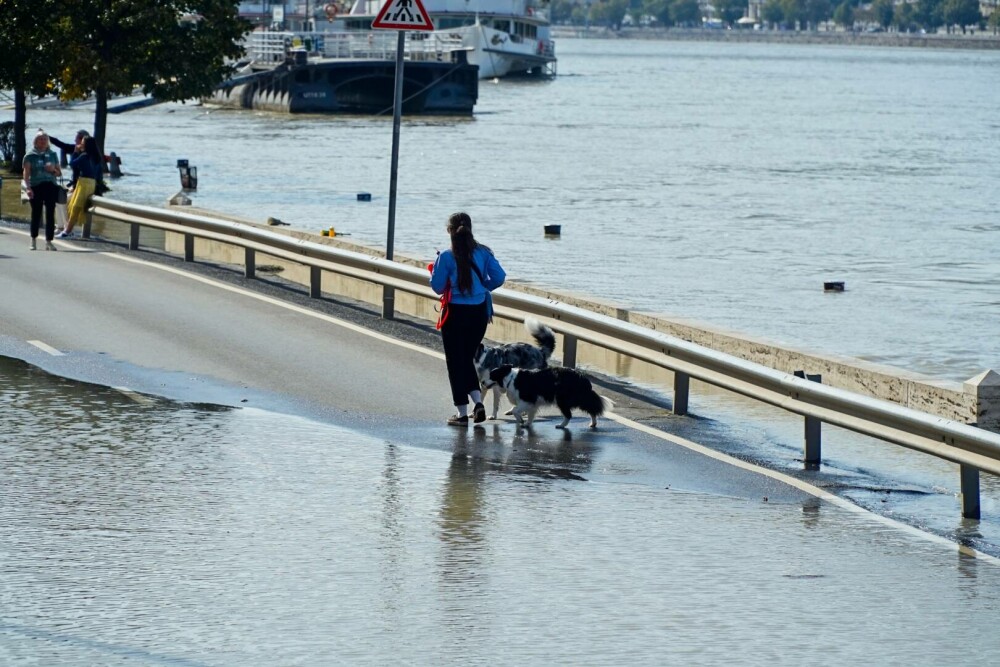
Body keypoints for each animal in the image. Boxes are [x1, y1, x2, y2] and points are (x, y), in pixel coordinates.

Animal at [482, 362, 612, 430]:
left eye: (491, 375)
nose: (482, 382)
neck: (509, 379)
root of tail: (583, 378)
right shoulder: (532, 404)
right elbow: (530, 414)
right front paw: (527, 423)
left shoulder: (526, 400)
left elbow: (515, 410)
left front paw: (520, 420)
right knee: (591, 409)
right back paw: (593, 423)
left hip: (562, 400)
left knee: (569, 414)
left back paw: (561, 425)